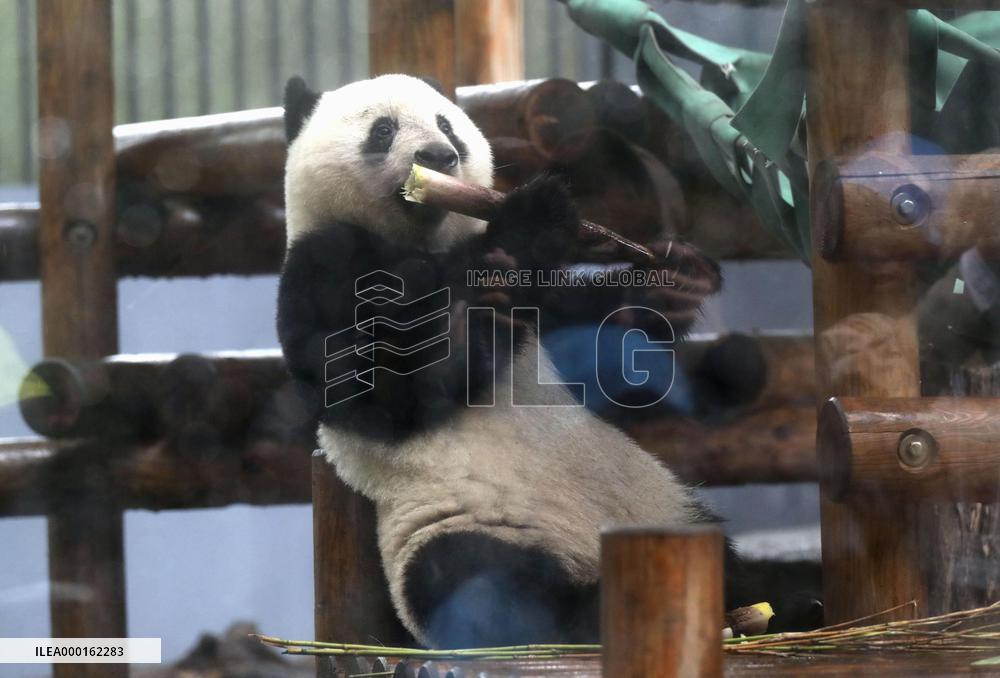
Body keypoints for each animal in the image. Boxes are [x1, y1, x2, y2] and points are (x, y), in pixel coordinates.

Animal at [277, 73, 746, 648]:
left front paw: (675, 281)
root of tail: (588, 556)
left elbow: (602, 350)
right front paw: (532, 218)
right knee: (476, 581)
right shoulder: (325, 265)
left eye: (446, 124)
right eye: (383, 129)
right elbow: (379, 394)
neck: (423, 237)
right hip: (458, 522)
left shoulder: (544, 306)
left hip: (667, 505)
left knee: (722, 552)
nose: (439, 156)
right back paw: (588, 614)